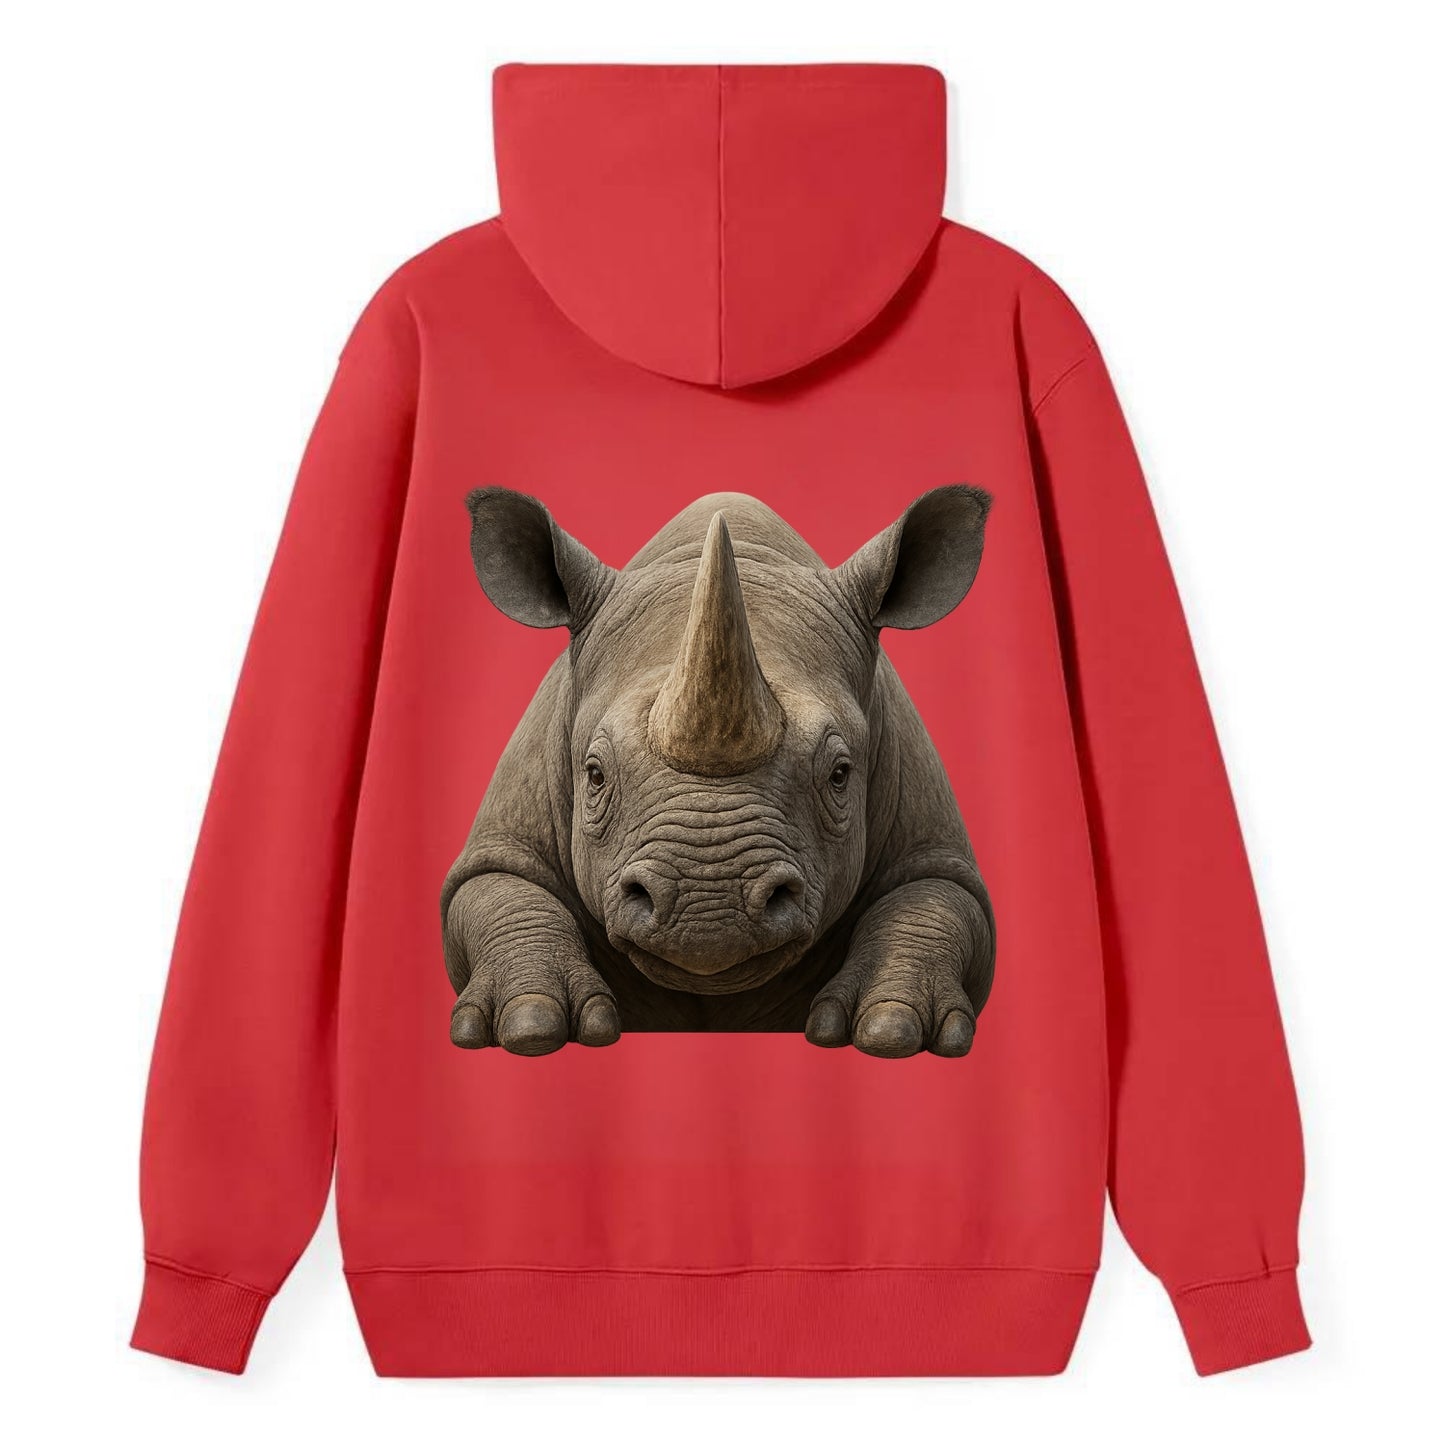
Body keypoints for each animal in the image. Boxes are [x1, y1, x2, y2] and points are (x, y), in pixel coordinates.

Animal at [442, 487, 995, 1059]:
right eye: (594, 775)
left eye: (840, 774)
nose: (709, 911)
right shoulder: (504, 838)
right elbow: (499, 889)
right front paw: (530, 1025)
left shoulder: (931, 842)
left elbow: (934, 898)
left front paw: (891, 1029)